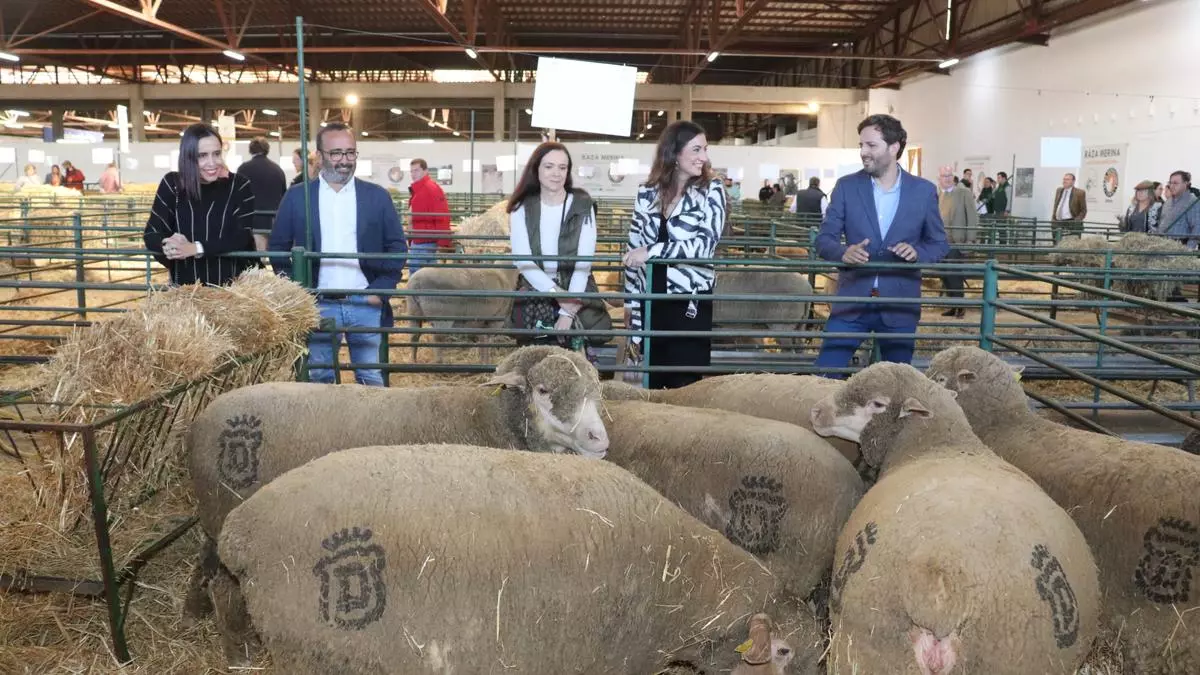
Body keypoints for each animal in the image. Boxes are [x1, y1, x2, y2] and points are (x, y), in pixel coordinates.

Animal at [186, 343, 609, 658]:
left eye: (594, 390)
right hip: (222, 509)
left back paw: (195, 608)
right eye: (543, 390)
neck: (485, 415)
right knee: (221, 580)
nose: (599, 440)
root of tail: (202, 420)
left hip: (214, 516)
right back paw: (237, 649)